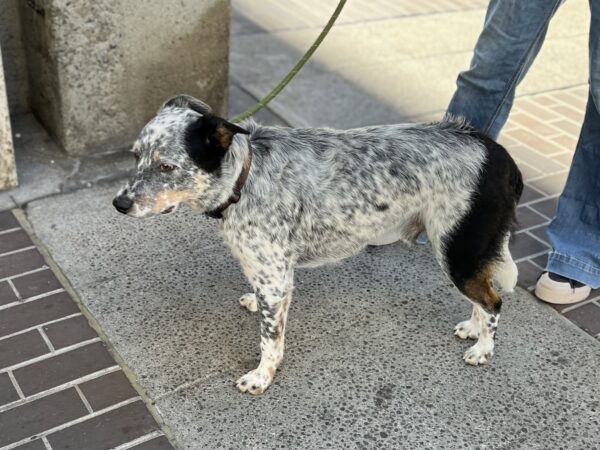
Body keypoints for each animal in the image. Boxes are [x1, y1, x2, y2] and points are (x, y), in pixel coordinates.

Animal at [113, 94, 524, 394]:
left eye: (167, 167)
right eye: (135, 156)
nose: (119, 204)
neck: (245, 177)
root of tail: (499, 154)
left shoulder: (275, 282)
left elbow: (269, 340)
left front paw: (262, 377)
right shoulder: (271, 275)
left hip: (457, 249)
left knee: (493, 301)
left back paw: (483, 349)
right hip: (463, 252)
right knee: (482, 294)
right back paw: (473, 329)